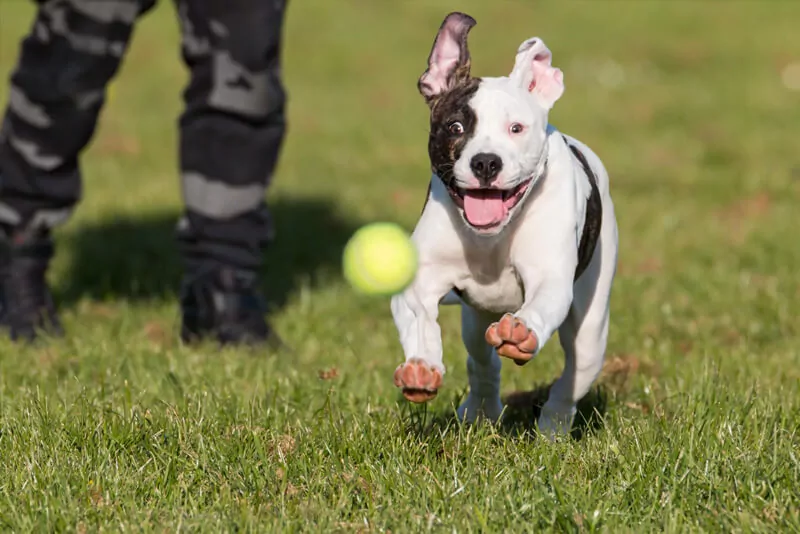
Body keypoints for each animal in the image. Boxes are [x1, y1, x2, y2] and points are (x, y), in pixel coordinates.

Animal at [390, 12, 620, 440]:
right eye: (455, 127)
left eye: (516, 128)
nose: (485, 162)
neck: (491, 238)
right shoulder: (420, 281)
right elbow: (418, 316)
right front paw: (421, 367)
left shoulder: (551, 278)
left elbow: (542, 303)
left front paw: (521, 331)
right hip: (475, 318)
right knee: (482, 363)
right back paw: (480, 410)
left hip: (592, 327)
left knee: (573, 376)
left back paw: (552, 428)